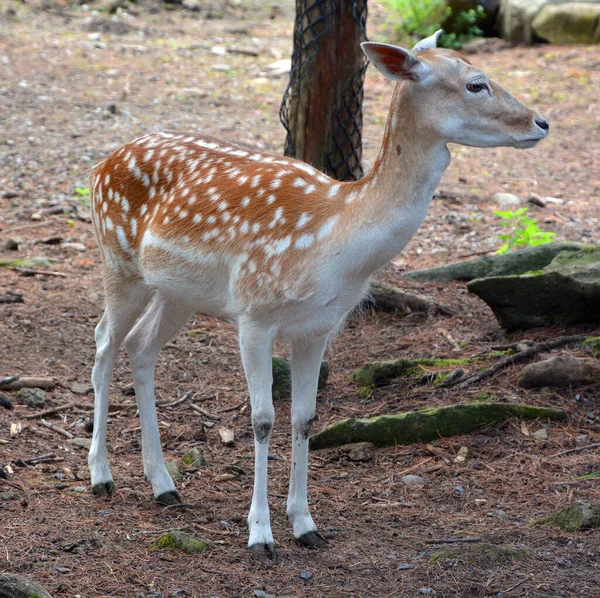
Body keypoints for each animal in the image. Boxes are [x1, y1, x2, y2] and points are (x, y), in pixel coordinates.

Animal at [86, 31, 552, 568]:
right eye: (476, 83)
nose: (541, 122)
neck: (335, 243)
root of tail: (99, 165)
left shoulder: (319, 326)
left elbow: (305, 418)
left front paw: (306, 525)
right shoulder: (254, 313)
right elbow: (262, 420)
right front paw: (260, 535)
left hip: (178, 291)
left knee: (141, 347)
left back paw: (164, 485)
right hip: (118, 260)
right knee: (104, 343)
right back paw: (101, 476)